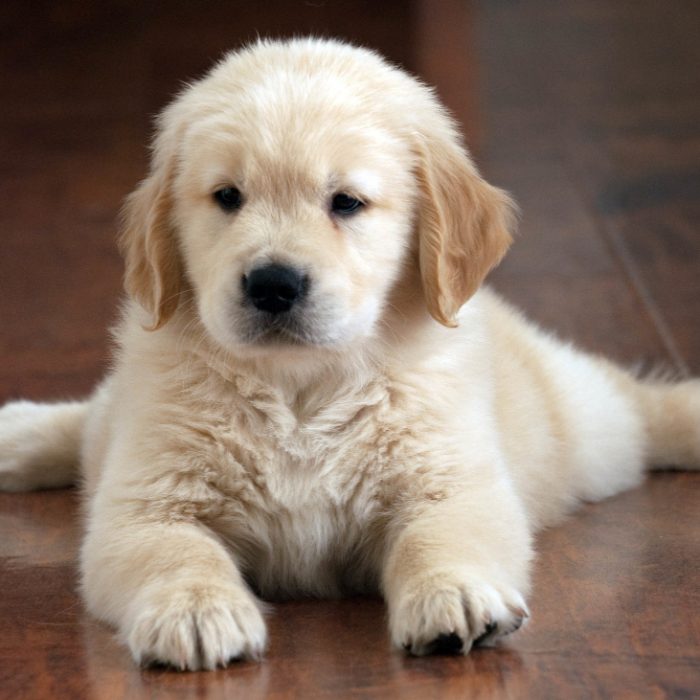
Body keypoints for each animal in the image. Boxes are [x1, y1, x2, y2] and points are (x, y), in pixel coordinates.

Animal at [1, 37, 700, 668]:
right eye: (227, 197)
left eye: (346, 202)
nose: (272, 284)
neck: (301, 388)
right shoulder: (145, 501)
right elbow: (179, 553)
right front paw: (195, 611)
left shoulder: (450, 480)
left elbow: (438, 537)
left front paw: (453, 593)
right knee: (93, 414)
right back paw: (20, 433)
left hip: (586, 430)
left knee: (634, 402)